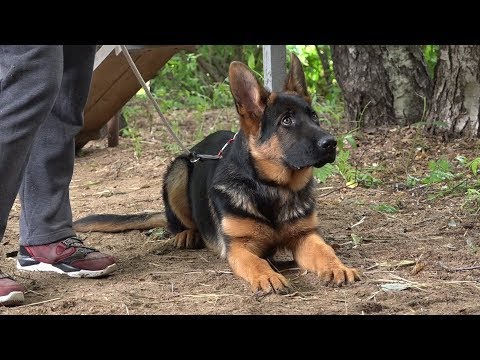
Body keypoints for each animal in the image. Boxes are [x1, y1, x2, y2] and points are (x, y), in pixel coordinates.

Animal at [74, 54, 360, 296]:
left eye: (314, 117)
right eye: (286, 121)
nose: (331, 143)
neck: (269, 187)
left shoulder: (305, 237)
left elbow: (325, 251)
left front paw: (338, 266)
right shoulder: (239, 248)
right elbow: (256, 262)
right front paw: (267, 275)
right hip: (179, 170)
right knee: (179, 222)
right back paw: (187, 233)